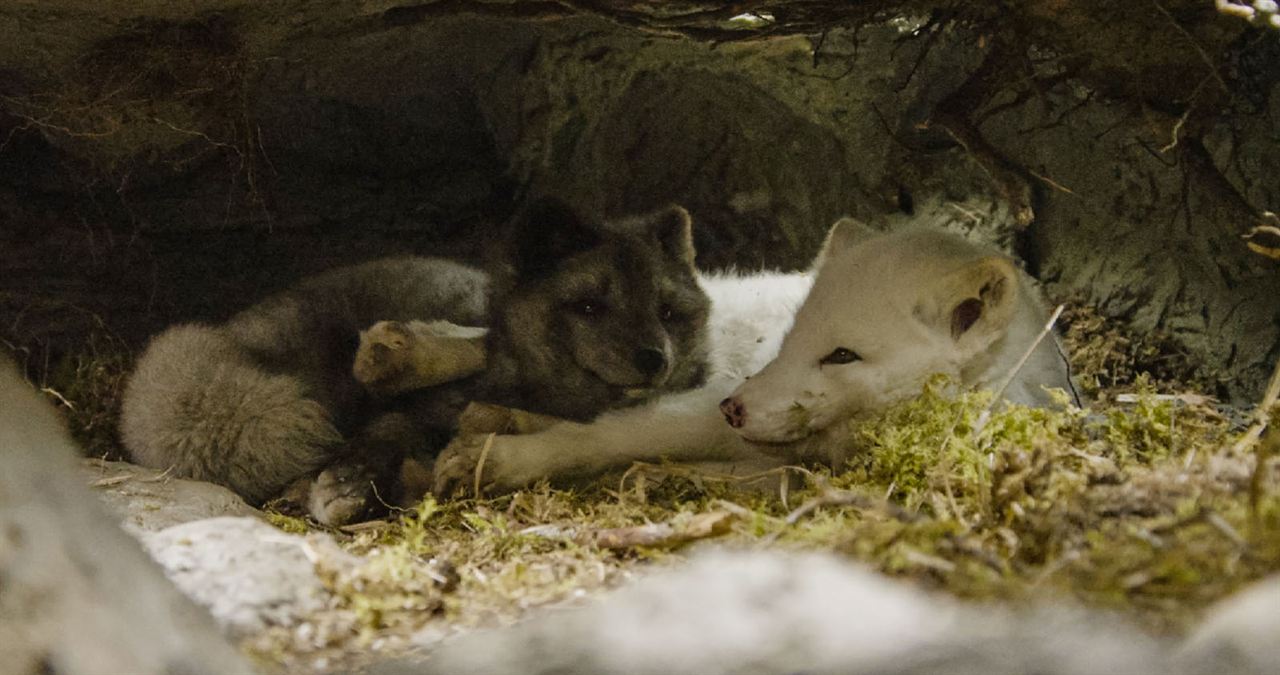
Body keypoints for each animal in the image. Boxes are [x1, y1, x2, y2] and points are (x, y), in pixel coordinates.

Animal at [120, 198, 711, 525]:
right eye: (590, 306)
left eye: (666, 311)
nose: (654, 360)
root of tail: (227, 331)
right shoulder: (407, 412)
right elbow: (382, 435)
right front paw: (346, 488)